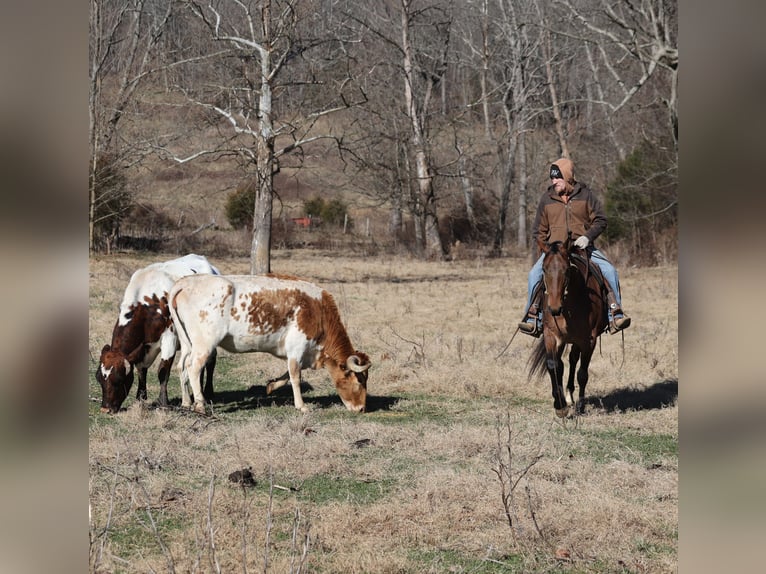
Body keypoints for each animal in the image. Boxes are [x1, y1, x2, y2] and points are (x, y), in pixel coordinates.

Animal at [528, 239, 609, 417]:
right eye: (544, 269)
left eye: (566, 270)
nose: (554, 307)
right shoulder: (551, 335)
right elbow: (553, 365)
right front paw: (560, 405)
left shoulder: (588, 340)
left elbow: (582, 373)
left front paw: (580, 406)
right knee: (565, 363)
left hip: (578, 340)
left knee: (573, 360)